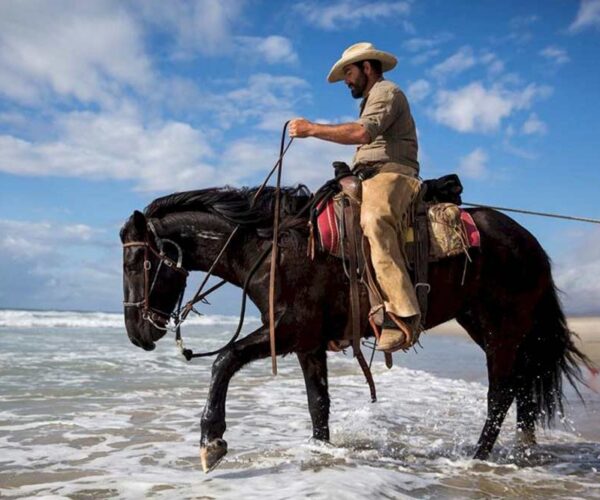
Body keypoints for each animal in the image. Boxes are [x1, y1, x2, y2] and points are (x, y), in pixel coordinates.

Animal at [120, 185, 592, 472]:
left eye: (136, 261)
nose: (137, 334)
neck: (273, 248)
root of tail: (529, 241)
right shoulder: (307, 343)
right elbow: (318, 404)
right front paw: (322, 452)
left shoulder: (286, 330)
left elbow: (224, 360)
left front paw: (212, 442)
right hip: (485, 323)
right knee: (523, 386)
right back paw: (523, 451)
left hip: (502, 330)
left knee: (501, 394)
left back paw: (478, 458)